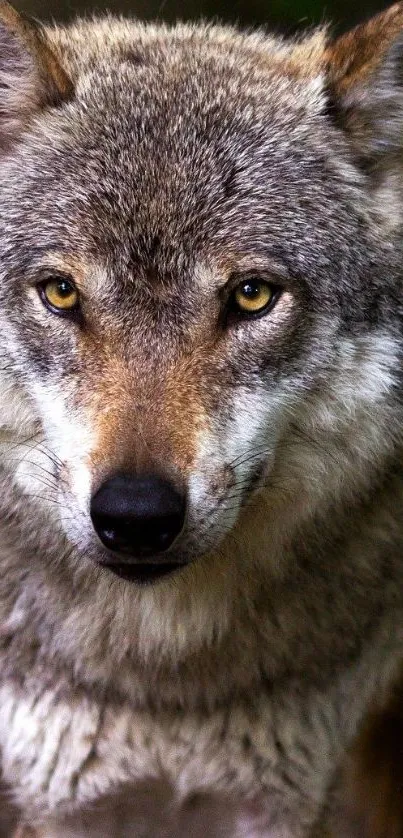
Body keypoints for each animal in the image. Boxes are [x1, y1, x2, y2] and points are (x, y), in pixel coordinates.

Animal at [0, 0, 402, 836]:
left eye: (251, 295)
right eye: (61, 293)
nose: (135, 515)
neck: (166, 687)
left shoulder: (287, 803)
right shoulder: (58, 804)